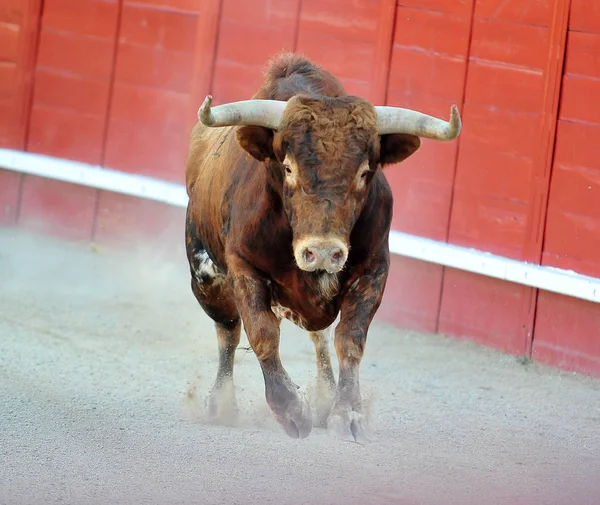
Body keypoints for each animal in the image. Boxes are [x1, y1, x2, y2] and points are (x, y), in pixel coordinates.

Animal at [183, 54, 460, 440]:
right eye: (287, 167)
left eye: (364, 172)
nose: (325, 253)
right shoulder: (243, 268)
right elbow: (262, 333)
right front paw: (290, 410)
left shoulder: (374, 270)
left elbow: (350, 339)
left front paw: (347, 412)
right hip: (206, 280)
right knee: (228, 331)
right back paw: (221, 403)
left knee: (321, 338)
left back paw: (325, 399)